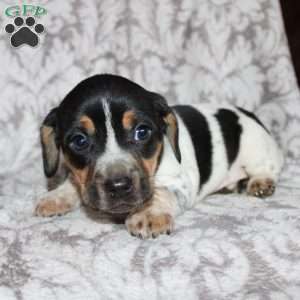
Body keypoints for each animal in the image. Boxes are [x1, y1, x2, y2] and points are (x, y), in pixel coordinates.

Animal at [35, 74, 284, 238]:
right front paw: (57, 196)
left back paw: (260, 183)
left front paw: (148, 213)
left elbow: (159, 192)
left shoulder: (181, 183)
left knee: (268, 168)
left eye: (142, 132)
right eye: (79, 141)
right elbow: (73, 182)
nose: (118, 186)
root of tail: (247, 113)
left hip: (256, 149)